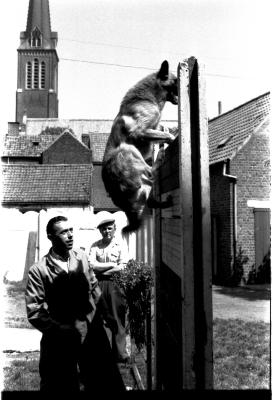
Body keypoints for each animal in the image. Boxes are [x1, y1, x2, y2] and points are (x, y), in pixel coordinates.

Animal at [101, 60, 177, 234]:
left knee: (150, 196)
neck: (149, 98)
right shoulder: (140, 131)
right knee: (150, 173)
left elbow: (164, 129)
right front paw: (172, 137)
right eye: (176, 81)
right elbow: (167, 135)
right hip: (129, 149)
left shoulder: (154, 126)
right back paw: (159, 156)